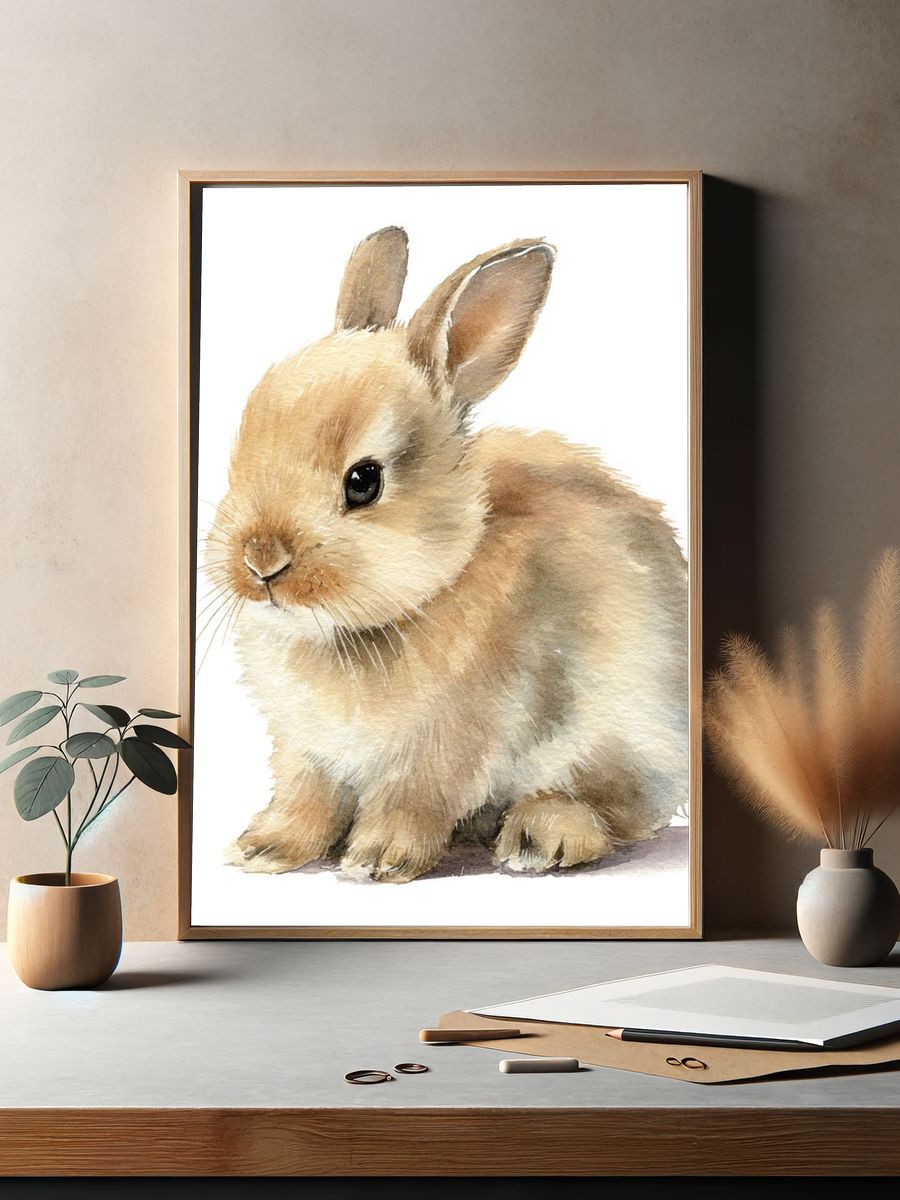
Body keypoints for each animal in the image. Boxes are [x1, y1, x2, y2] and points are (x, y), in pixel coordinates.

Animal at [210, 225, 689, 883]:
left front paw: (378, 860)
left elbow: (413, 798)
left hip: (631, 734)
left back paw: (541, 836)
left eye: (364, 481)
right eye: (242, 448)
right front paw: (265, 849)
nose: (260, 561)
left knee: (616, 808)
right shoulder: (305, 750)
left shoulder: (455, 741)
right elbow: (306, 797)